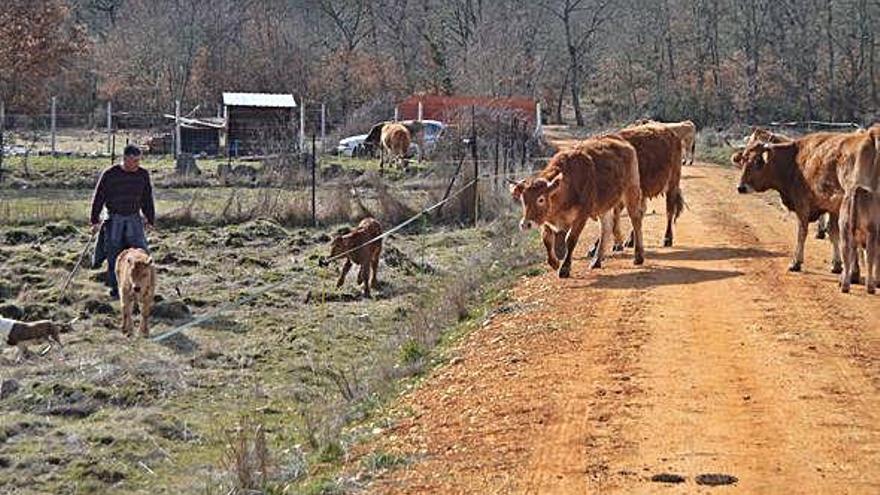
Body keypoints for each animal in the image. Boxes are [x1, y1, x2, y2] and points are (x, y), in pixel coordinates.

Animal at [508, 134, 648, 278]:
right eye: (523, 199)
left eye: (540, 199)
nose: (525, 224)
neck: (566, 187)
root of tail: (623, 142)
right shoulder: (545, 219)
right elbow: (546, 239)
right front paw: (554, 263)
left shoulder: (582, 215)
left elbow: (570, 239)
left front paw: (565, 268)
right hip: (603, 207)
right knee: (606, 228)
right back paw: (596, 260)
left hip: (631, 191)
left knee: (636, 220)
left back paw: (638, 256)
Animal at [732, 128, 876, 276]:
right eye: (743, 160)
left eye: (757, 161)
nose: (741, 187)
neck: (794, 160)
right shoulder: (832, 208)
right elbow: (833, 234)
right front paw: (836, 264)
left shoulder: (803, 205)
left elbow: (802, 232)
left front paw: (796, 262)